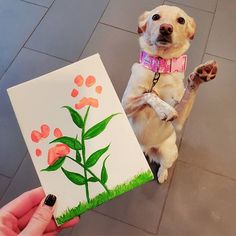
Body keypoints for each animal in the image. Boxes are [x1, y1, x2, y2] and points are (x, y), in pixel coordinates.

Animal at [121, 5, 218, 183]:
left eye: (181, 20)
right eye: (155, 17)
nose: (166, 28)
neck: (160, 67)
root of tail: (144, 148)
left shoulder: (179, 121)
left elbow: (188, 93)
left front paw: (201, 75)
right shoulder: (125, 104)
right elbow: (150, 94)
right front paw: (164, 109)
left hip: (169, 152)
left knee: (164, 165)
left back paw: (162, 175)